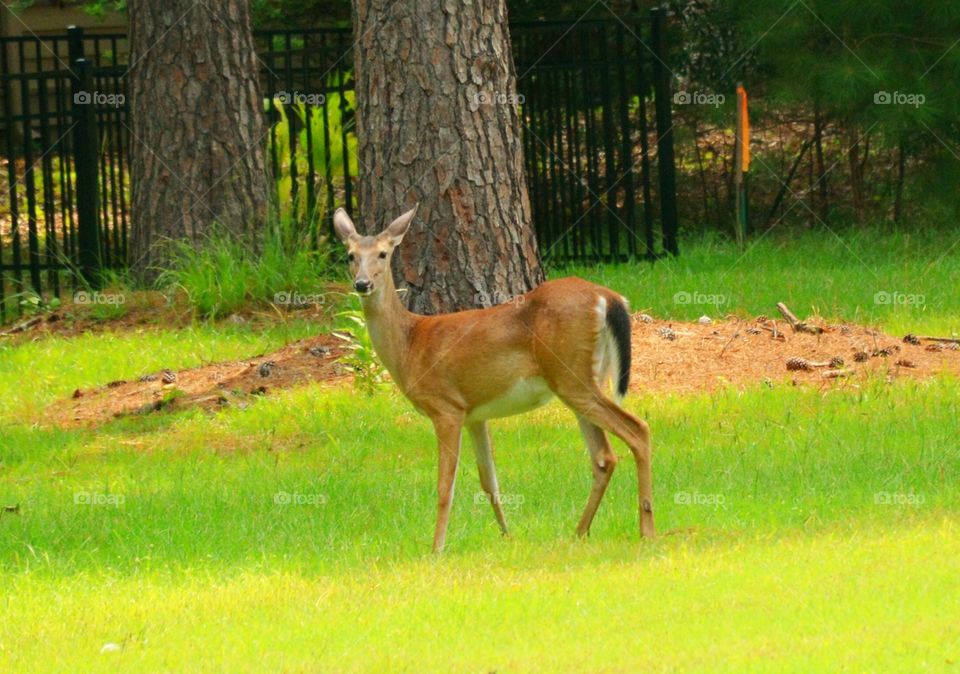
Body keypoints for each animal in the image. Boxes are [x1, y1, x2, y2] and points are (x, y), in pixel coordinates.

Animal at [334, 202, 656, 548]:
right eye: (351, 255)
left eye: (382, 254)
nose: (362, 284)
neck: (410, 345)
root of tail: (608, 298)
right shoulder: (475, 414)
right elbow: (490, 482)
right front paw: (508, 535)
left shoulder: (446, 407)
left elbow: (444, 487)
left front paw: (436, 548)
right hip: (581, 379)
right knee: (604, 457)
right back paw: (579, 531)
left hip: (572, 377)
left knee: (637, 430)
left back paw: (646, 530)